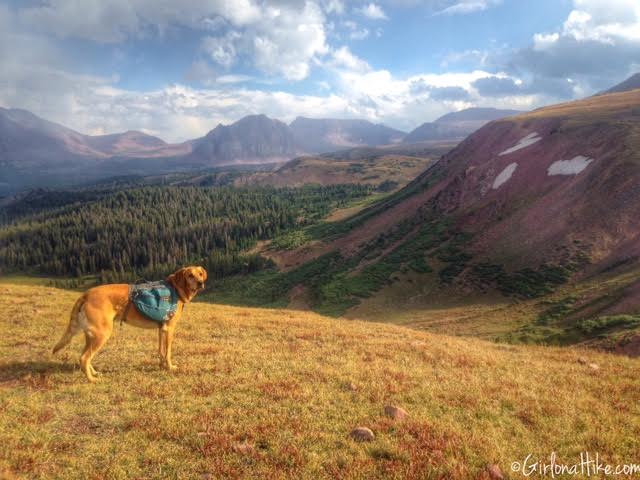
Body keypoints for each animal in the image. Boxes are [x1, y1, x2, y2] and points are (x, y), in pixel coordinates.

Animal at [53, 266, 208, 382]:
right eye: (190, 275)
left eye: (200, 274)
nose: (200, 282)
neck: (175, 288)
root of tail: (86, 294)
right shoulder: (169, 329)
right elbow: (168, 352)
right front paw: (170, 367)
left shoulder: (161, 329)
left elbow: (161, 351)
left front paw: (161, 366)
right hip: (102, 334)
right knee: (84, 358)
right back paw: (92, 379)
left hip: (92, 336)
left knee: (85, 356)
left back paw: (94, 373)